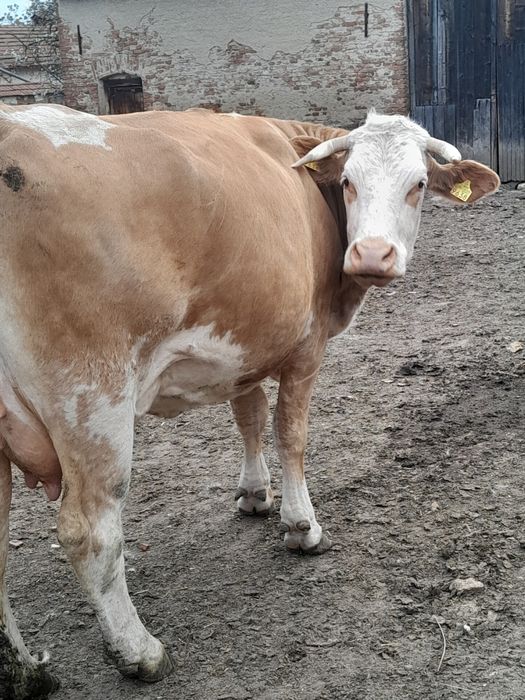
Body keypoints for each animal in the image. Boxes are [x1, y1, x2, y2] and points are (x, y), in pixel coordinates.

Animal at [0, 104, 499, 698]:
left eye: (418, 184)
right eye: (349, 182)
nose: (372, 256)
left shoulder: (247, 347)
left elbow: (250, 417)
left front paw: (255, 494)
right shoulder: (306, 344)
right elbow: (291, 433)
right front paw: (301, 526)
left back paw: (24, 672)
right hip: (93, 396)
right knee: (90, 532)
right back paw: (139, 651)